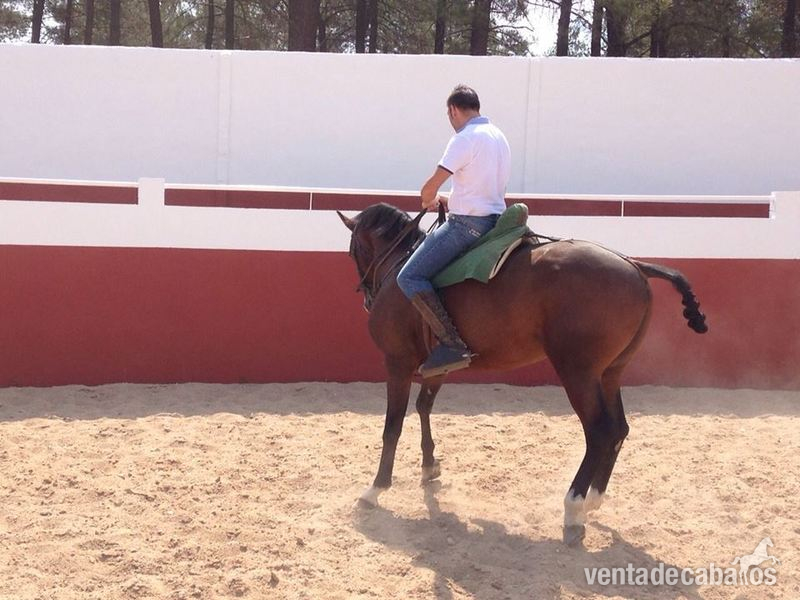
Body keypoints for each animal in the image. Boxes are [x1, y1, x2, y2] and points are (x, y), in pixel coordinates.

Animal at [337, 203, 707, 546]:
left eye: (354, 250)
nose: (366, 295)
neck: (402, 268)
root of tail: (633, 264)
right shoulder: (437, 365)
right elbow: (424, 407)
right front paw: (430, 466)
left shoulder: (397, 362)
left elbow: (393, 426)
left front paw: (375, 489)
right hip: (609, 374)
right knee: (618, 429)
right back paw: (593, 499)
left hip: (579, 374)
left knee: (599, 432)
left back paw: (573, 507)